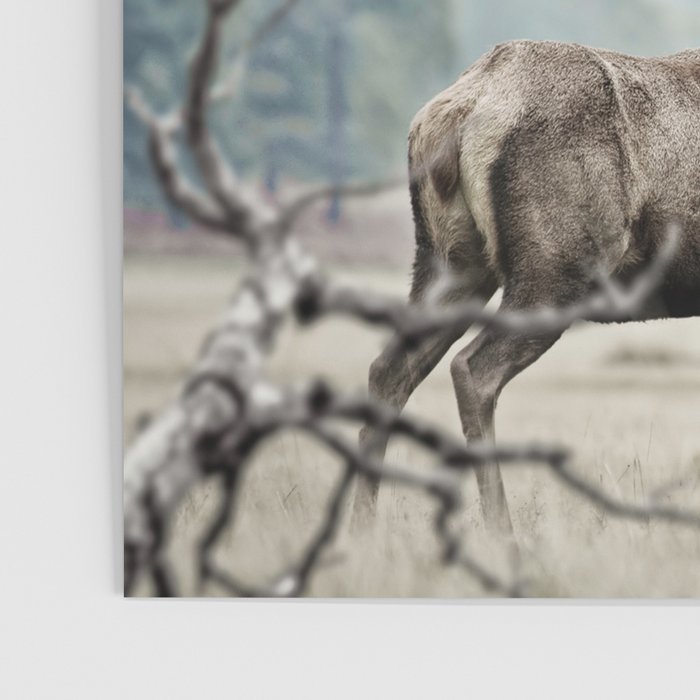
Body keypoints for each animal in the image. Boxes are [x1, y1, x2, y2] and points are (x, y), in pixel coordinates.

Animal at [352, 40, 700, 536]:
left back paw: (360, 528)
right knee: (473, 368)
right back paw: (503, 534)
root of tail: (457, 110)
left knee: (389, 368)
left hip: (450, 262)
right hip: (555, 268)